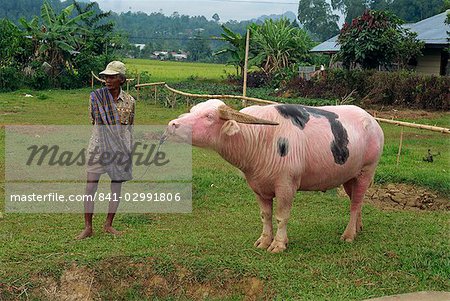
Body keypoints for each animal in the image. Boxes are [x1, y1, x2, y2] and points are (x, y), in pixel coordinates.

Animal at [167, 99, 384, 252]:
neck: (258, 138)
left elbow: (281, 216)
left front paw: (279, 244)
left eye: (209, 116)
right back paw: (358, 228)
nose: (172, 124)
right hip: (349, 177)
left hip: (366, 171)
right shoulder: (257, 186)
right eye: (193, 111)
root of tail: (373, 123)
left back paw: (348, 235)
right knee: (357, 200)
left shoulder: (286, 186)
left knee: (355, 203)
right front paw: (264, 241)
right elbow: (265, 215)